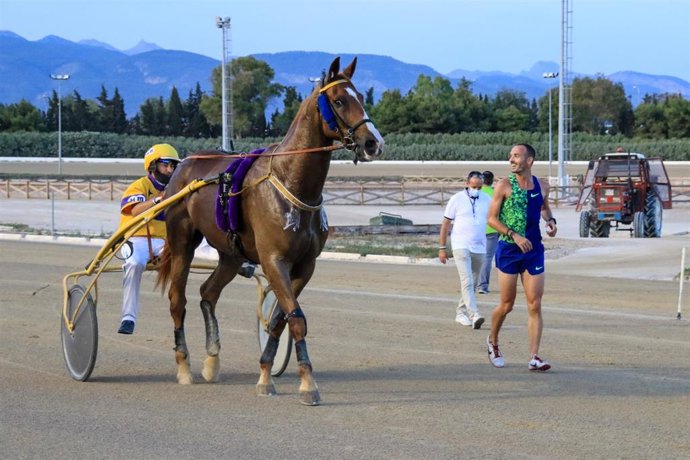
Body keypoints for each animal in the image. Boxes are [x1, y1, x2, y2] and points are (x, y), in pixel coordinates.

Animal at [156, 57, 384, 405]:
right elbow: (297, 319)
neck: (291, 182)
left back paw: (212, 360)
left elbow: (280, 318)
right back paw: (184, 366)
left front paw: (266, 373)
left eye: (360, 96)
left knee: (208, 293)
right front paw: (308, 384)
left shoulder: (304, 265)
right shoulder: (274, 260)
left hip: (231, 254)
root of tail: (184, 164)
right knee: (176, 299)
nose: (373, 142)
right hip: (182, 241)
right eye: (339, 101)